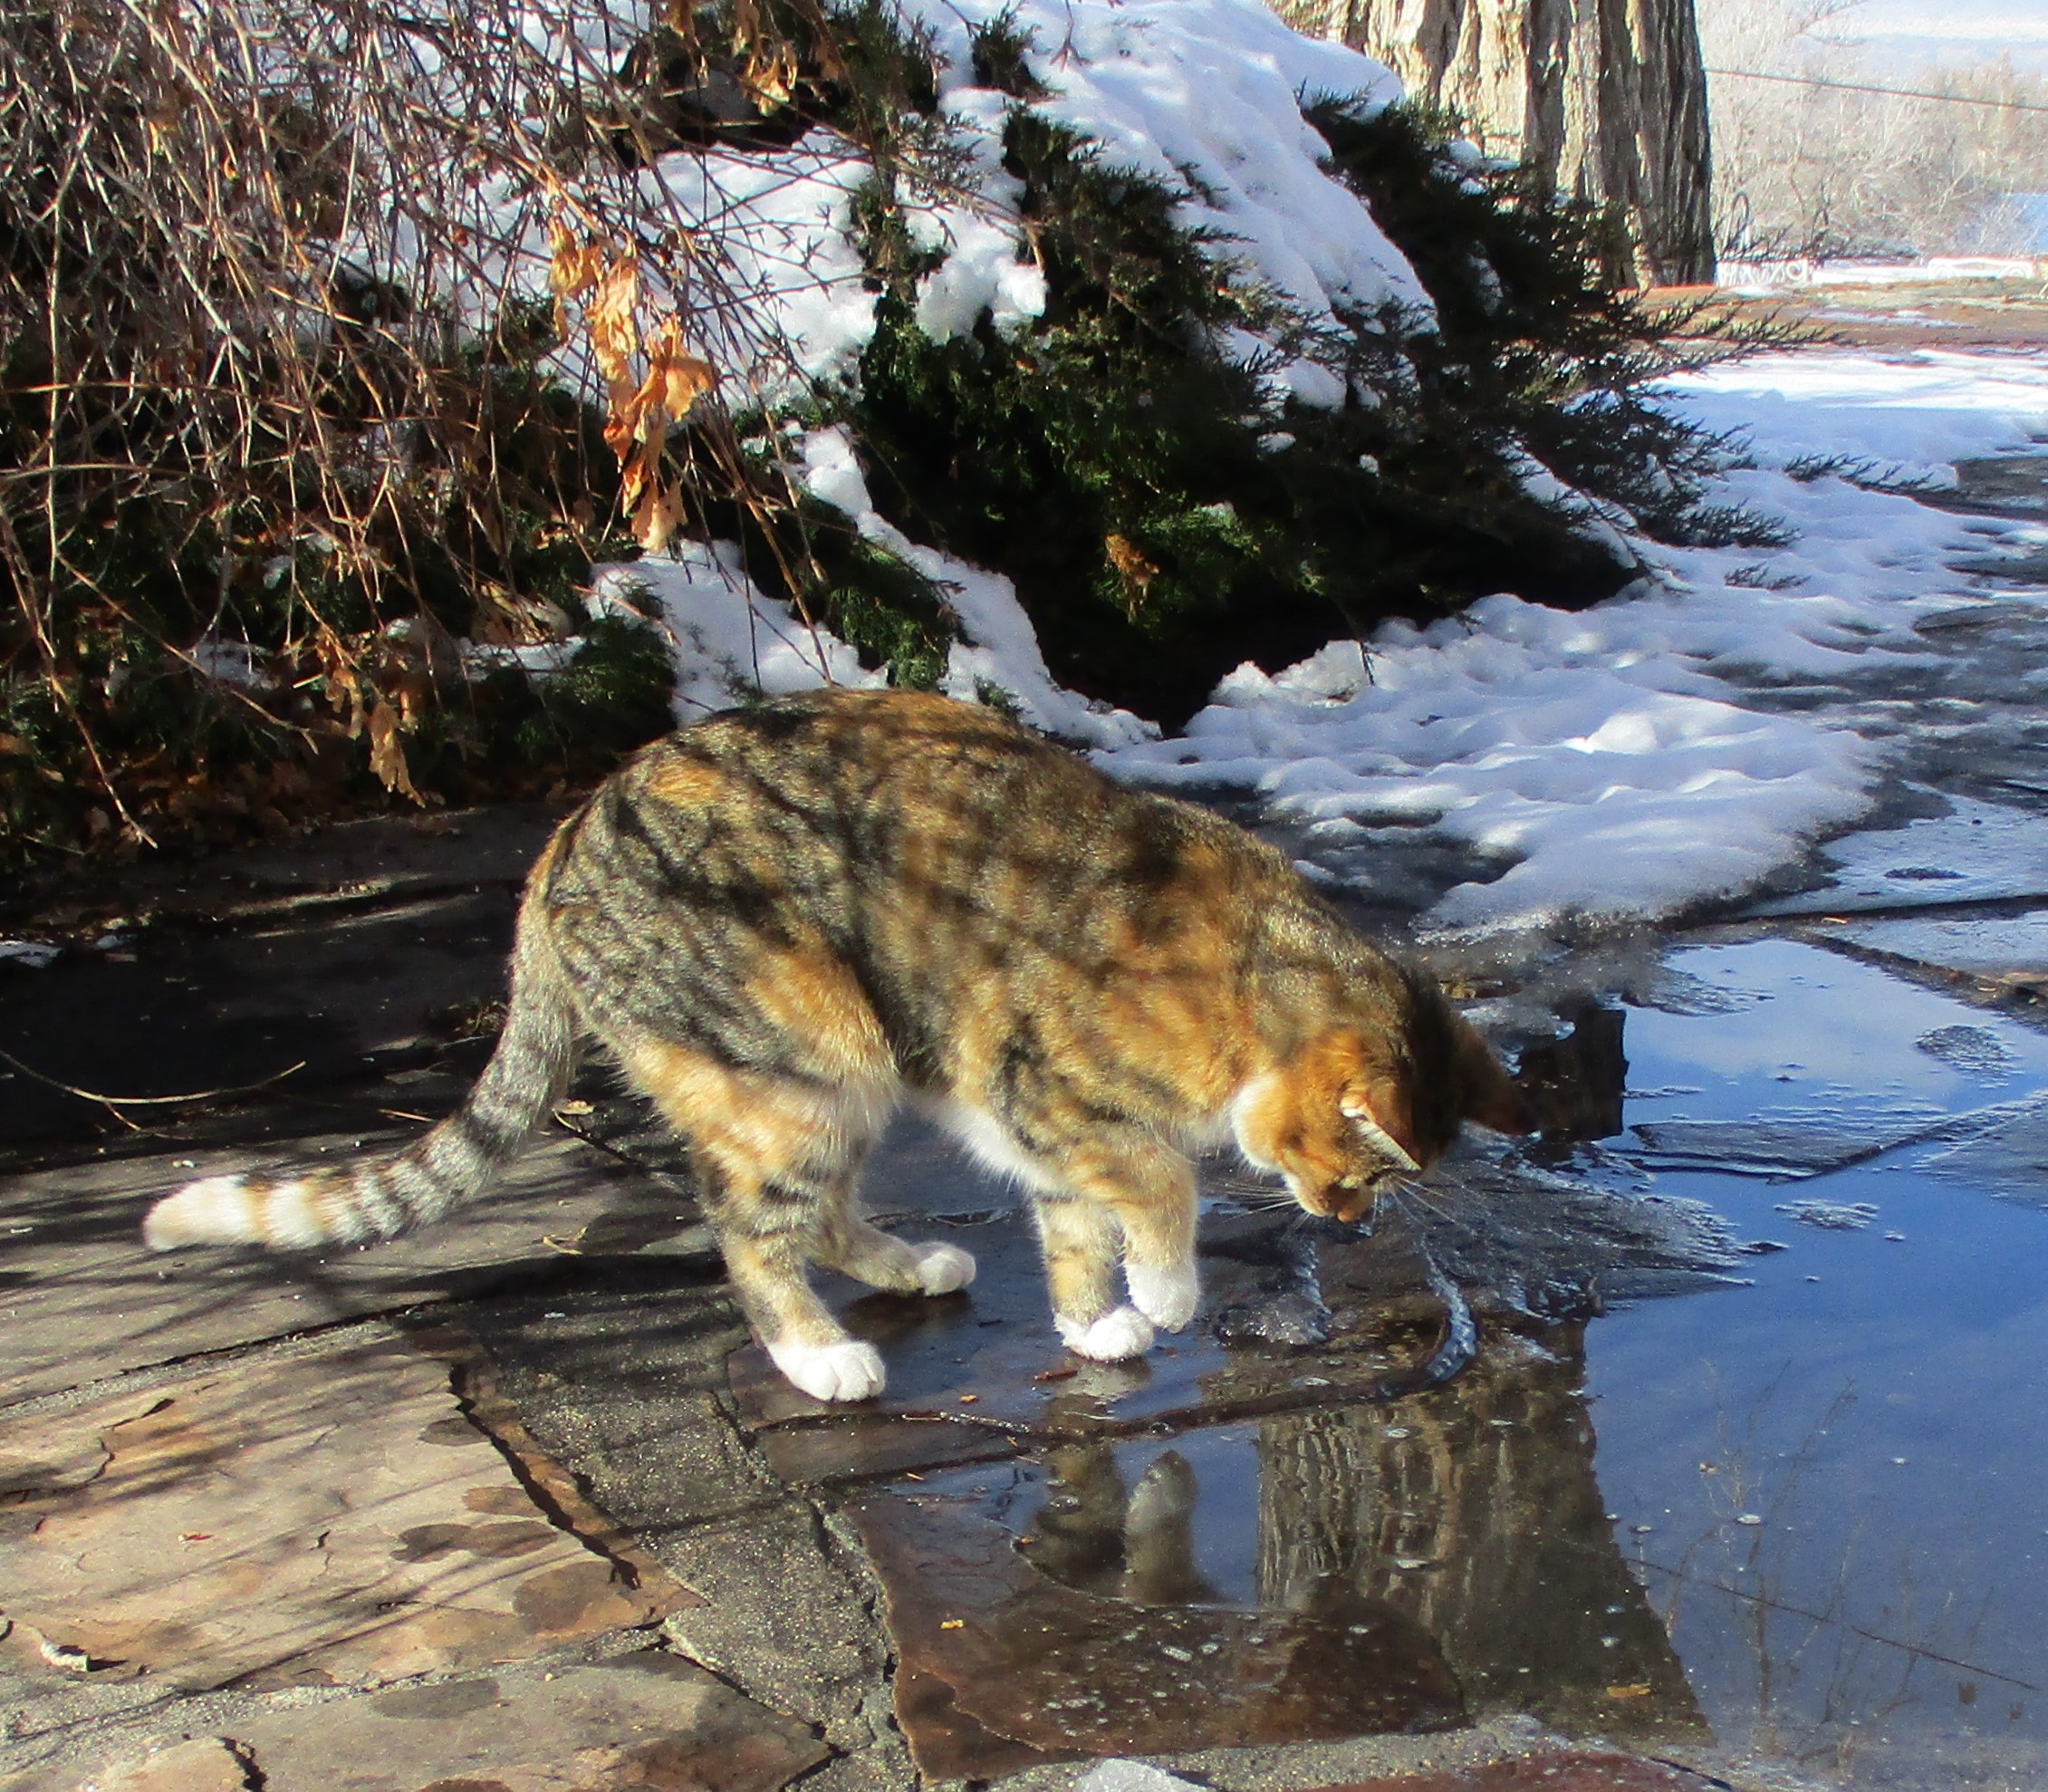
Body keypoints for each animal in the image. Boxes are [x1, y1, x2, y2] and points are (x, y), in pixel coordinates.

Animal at [144, 687, 1529, 1402]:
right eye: (1355, 1171)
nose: (1350, 1222)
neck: (1239, 978)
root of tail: (564, 836)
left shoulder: (1045, 1129)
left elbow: (1077, 1222)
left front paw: (1093, 1324)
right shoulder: (1038, 1086)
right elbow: (1157, 1182)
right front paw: (1171, 1289)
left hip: (840, 1081)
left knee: (812, 1215)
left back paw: (911, 1269)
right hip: (798, 1064)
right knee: (752, 1231)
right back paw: (819, 1356)